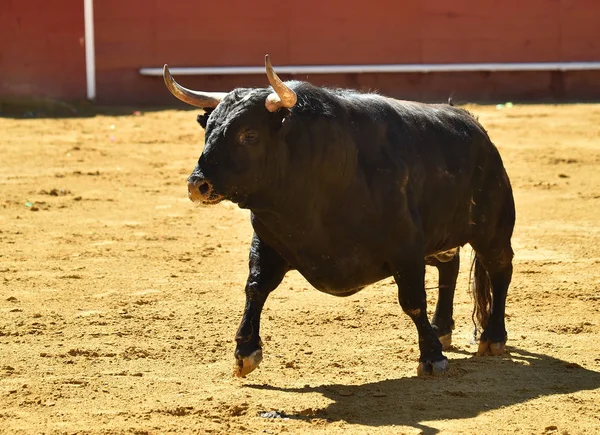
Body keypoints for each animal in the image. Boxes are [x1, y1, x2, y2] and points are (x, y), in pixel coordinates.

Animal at [164, 55, 516, 378]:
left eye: (249, 135)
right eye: (208, 131)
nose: (197, 185)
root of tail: (475, 127)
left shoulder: (405, 249)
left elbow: (413, 300)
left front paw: (431, 357)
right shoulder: (267, 241)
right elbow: (256, 287)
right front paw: (245, 352)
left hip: (493, 232)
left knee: (500, 269)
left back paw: (493, 337)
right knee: (449, 268)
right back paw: (442, 328)